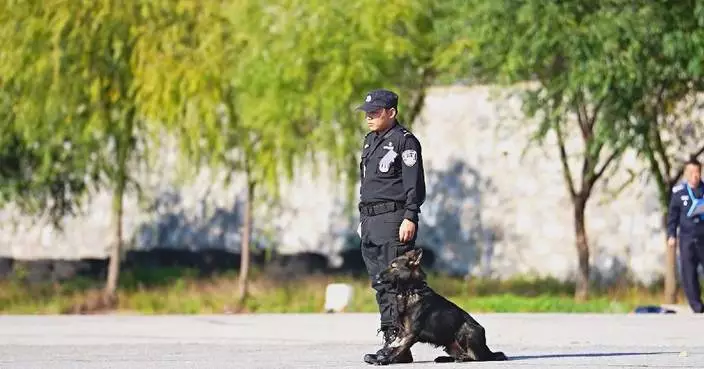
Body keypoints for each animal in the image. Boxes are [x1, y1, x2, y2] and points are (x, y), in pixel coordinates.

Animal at [368, 247, 506, 362]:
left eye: (393, 267)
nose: (376, 276)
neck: (409, 291)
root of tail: (487, 350)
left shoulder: (410, 332)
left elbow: (399, 348)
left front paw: (386, 359)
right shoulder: (402, 331)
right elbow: (395, 345)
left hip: (465, 329)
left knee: (474, 357)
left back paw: (459, 359)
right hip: (449, 344)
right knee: (461, 354)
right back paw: (445, 358)